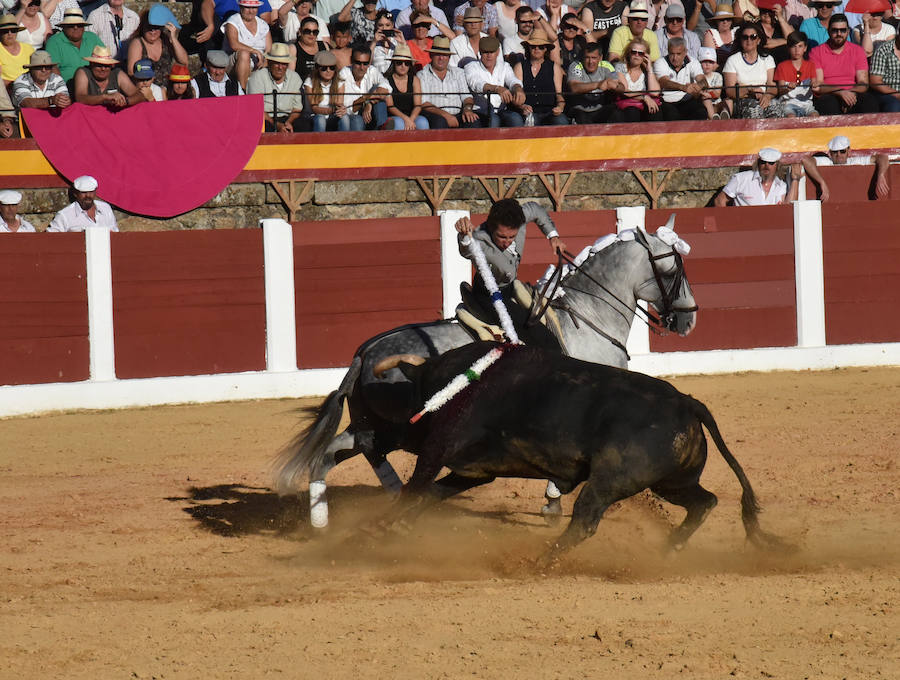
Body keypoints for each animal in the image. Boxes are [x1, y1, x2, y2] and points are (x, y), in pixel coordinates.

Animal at [272, 220, 696, 528]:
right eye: (674, 268)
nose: (689, 319)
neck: (586, 318)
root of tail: (365, 353)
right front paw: (552, 502)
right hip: (397, 425)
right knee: (364, 449)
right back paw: (393, 496)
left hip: (367, 421)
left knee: (328, 455)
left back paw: (325, 523)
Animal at [390, 342, 784, 560]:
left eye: (412, 393)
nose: (402, 433)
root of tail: (687, 403)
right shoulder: (476, 470)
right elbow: (430, 493)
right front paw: (397, 526)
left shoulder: (440, 446)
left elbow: (415, 487)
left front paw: (380, 530)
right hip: (670, 483)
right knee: (704, 502)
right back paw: (669, 549)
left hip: (610, 481)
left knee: (585, 520)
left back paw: (539, 563)